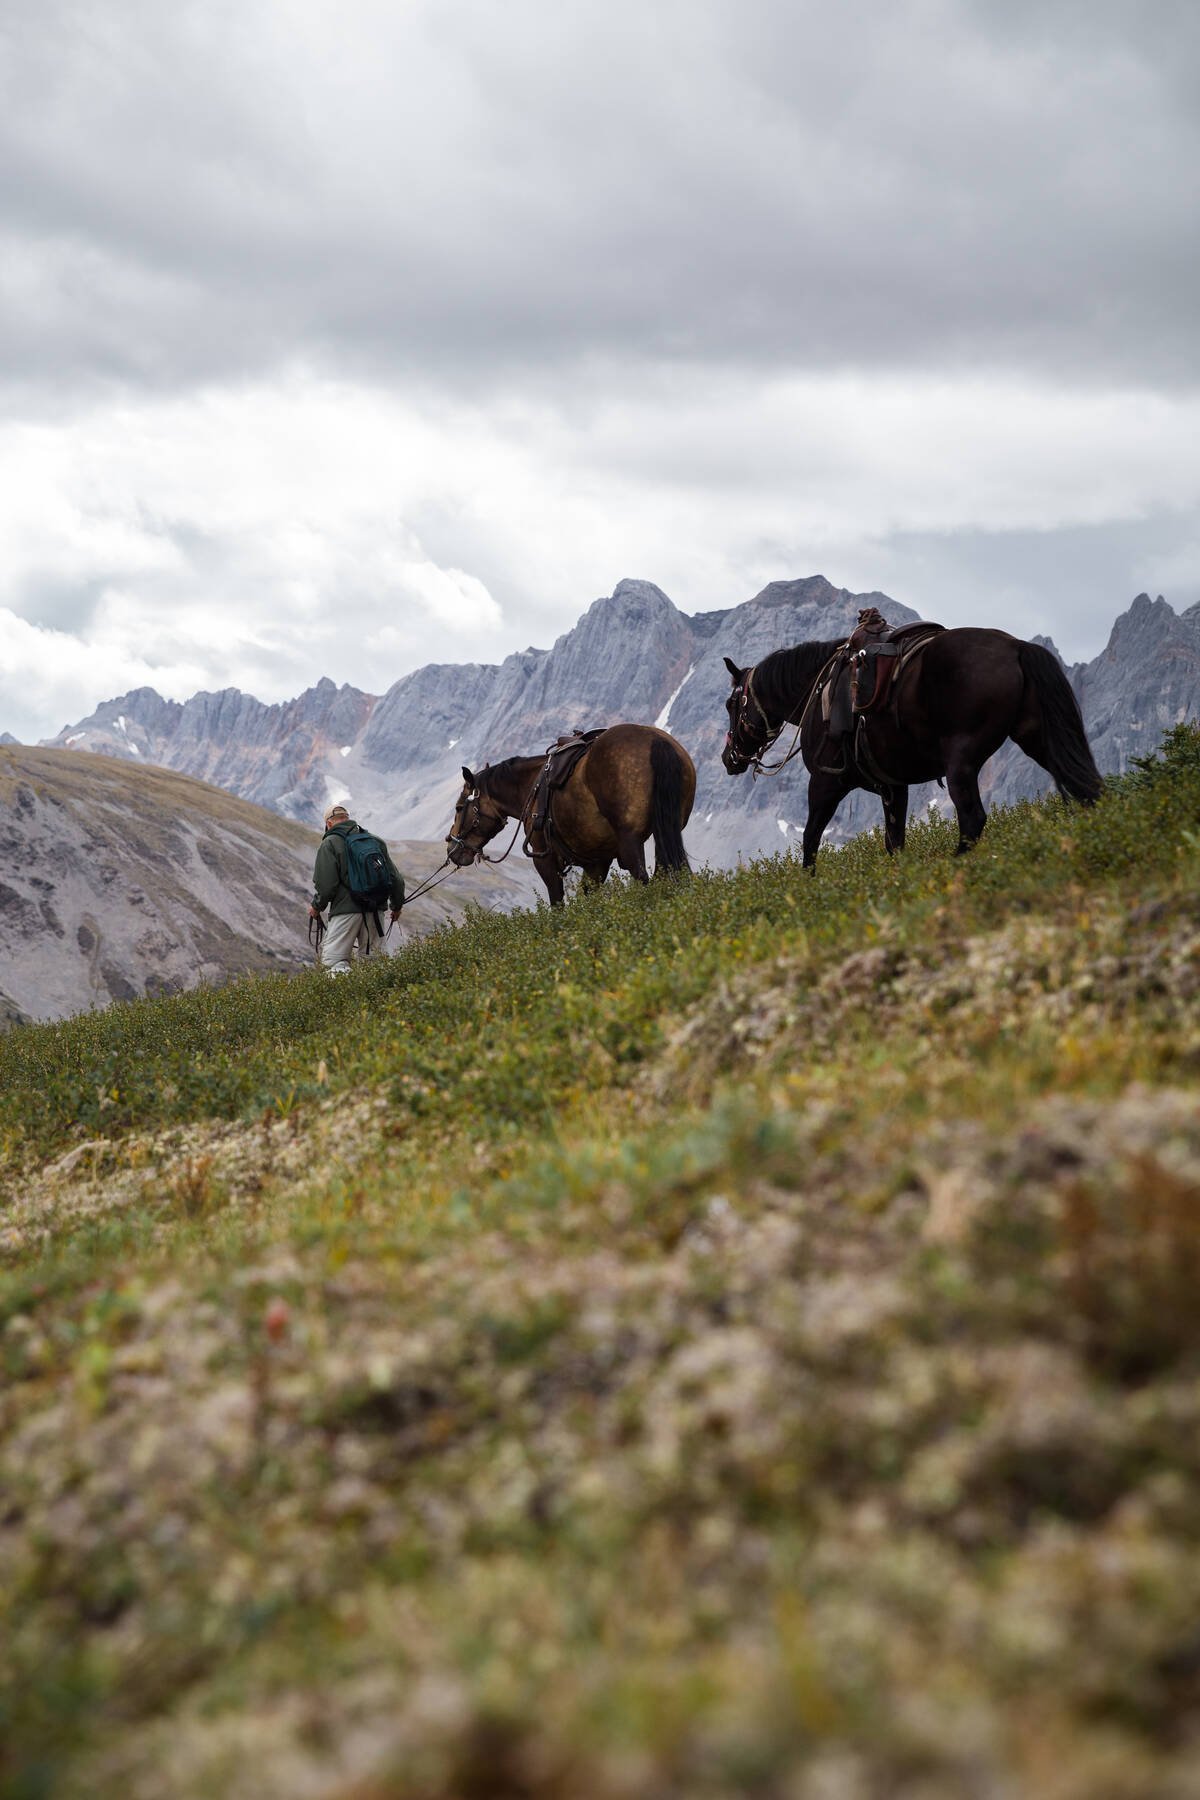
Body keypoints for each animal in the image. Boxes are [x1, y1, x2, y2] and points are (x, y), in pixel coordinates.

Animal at [446, 722, 696, 906]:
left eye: (459, 808)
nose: (451, 847)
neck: (533, 787)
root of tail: (655, 740)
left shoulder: (544, 859)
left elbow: (557, 903)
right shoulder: (597, 862)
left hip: (630, 842)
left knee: (644, 880)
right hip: (666, 832)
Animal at [722, 625, 1102, 869]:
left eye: (731, 704)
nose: (730, 759)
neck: (819, 691)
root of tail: (1017, 647)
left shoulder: (826, 783)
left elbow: (810, 841)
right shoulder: (893, 787)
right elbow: (895, 842)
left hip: (961, 761)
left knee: (972, 818)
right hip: (1037, 739)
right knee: (1084, 785)